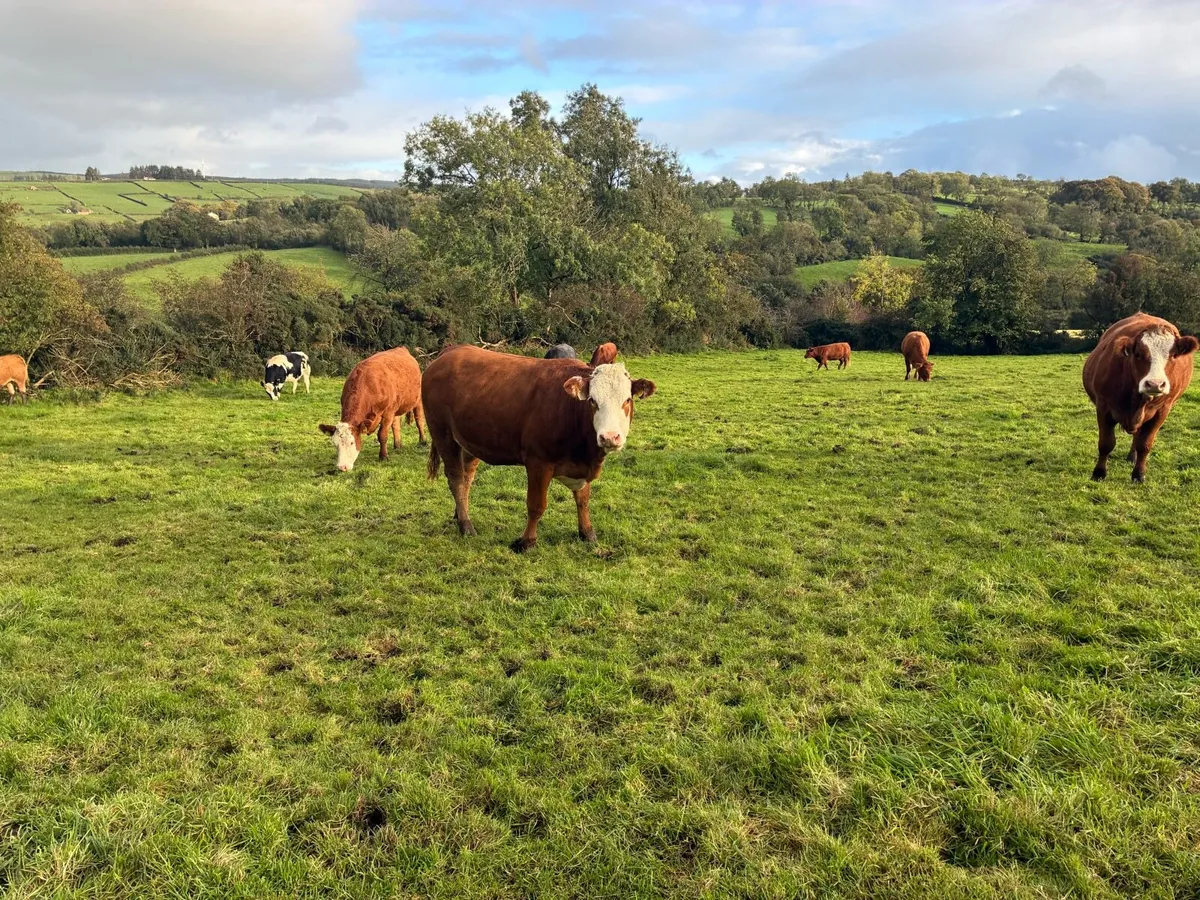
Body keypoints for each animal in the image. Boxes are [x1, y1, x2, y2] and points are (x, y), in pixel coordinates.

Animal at [421, 342, 654, 552]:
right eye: (592, 401)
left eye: (627, 400)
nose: (610, 437)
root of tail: (451, 351)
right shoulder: (538, 463)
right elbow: (536, 505)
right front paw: (527, 541)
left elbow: (583, 500)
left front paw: (587, 532)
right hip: (443, 434)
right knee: (456, 478)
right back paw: (465, 525)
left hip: (470, 441)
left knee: (467, 477)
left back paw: (459, 513)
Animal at [1082, 313, 1198, 483]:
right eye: (1138, 354)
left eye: (1173, 355)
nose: (1155, 384)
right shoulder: (1103, 407)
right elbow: (1106, 443)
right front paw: (1099, 473)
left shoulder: (1162, 411)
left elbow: (1145, 444)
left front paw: (1138, 474)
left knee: (1137, 437)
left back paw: (1133, 457)